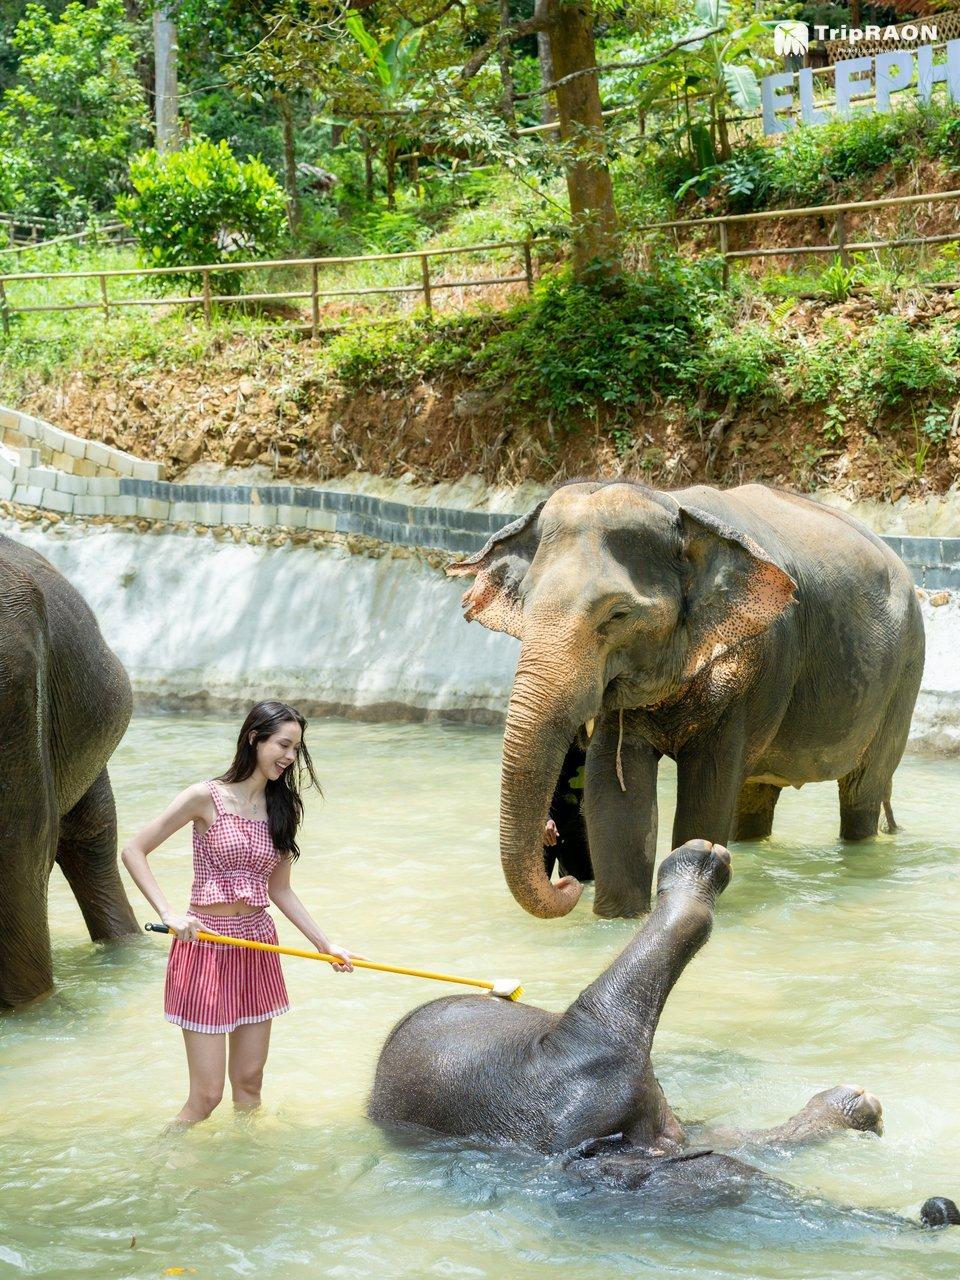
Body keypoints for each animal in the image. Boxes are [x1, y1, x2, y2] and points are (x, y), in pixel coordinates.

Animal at [448, 481, 924, 918]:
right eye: (525, 605)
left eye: (618, 614)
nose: (568, 881)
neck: (673, 504)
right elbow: (615, 794)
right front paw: (618, 922)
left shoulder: (756, 663)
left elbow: (709, 783)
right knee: (754, 798)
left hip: (904, 676)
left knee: (861, 793)